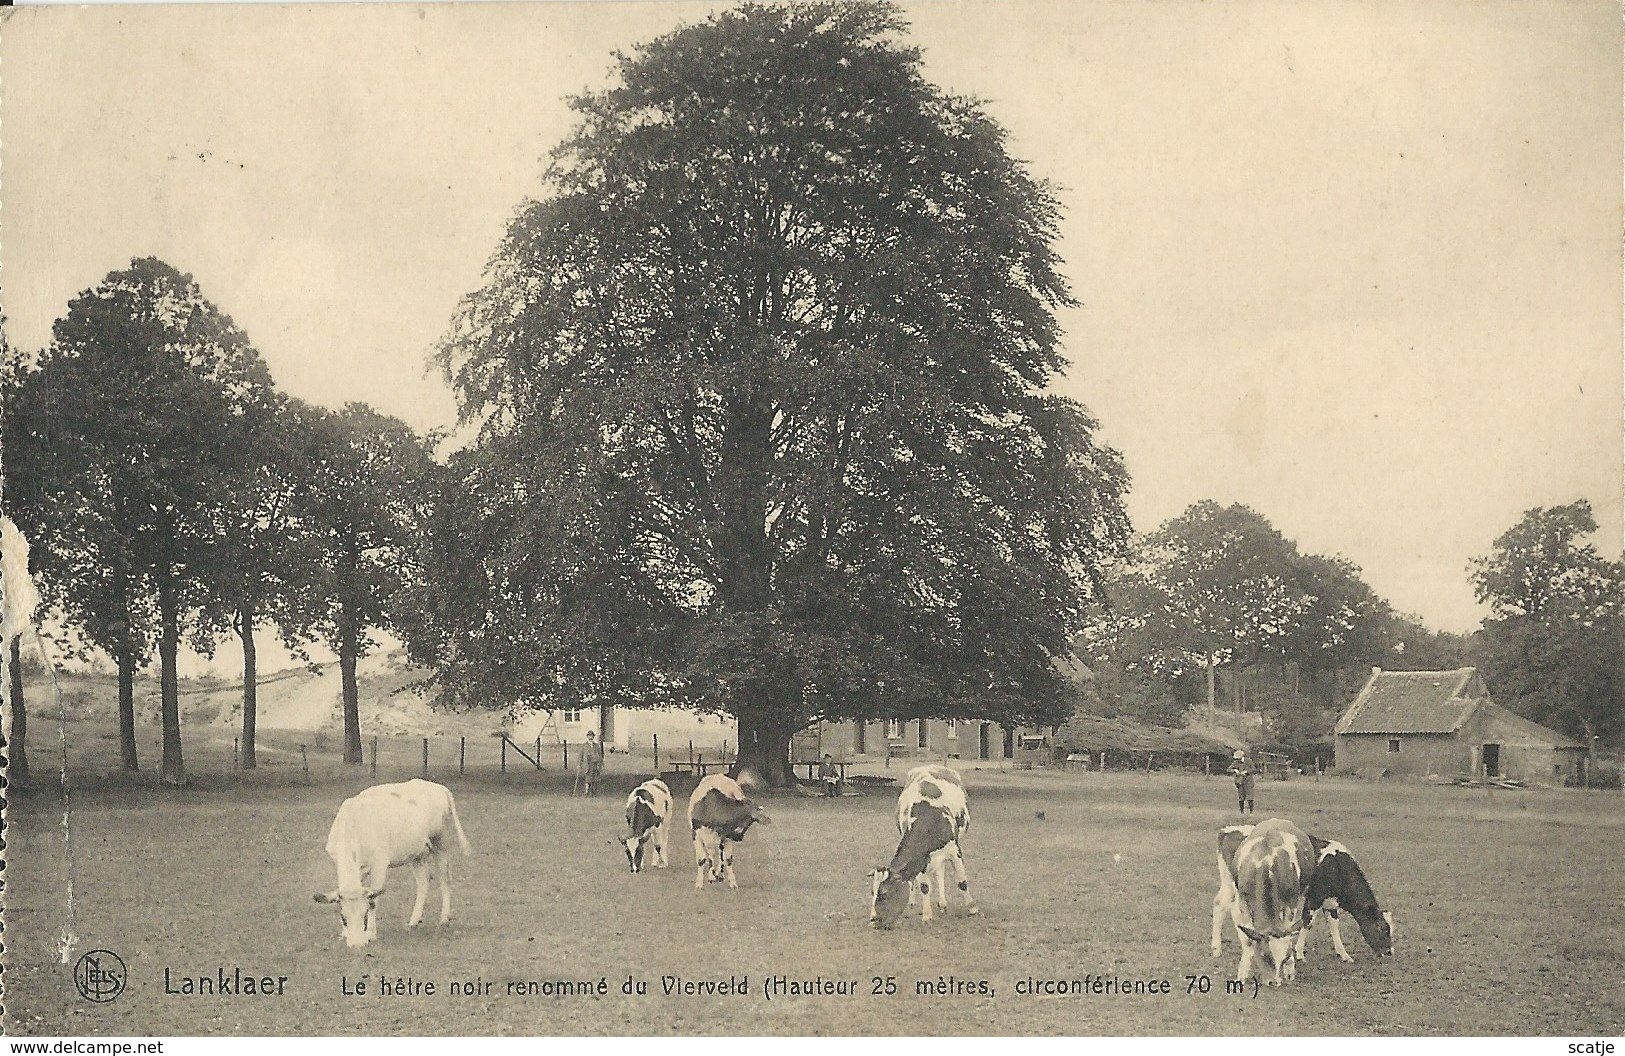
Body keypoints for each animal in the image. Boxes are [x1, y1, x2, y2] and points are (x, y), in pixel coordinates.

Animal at [313, 773, 471, 948]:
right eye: (343, 918)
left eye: (365, 916)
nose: (357, 944)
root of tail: (439, 787)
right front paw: (344, 934)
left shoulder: (380, 863)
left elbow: (374, 898)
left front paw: (371, 933)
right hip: (416, 853)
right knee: (423, 882)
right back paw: (413, 921)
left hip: (439, 841)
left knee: (445, 877)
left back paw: (444, 918)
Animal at [864, 760, 975, 922]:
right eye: (872, 892)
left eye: (884, 893)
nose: (873, 920)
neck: (929, 818)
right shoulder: (921, 858)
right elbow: (924, 886)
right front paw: (927, 915)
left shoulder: (955, 851)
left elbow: (962, 882)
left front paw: (972, 908)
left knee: (940, 872)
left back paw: (943, 903)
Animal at [1215, 818, 1313, 981]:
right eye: (1265, 956)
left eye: (1284, 959)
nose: (1275, 982)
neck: (1267, 864)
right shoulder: (1243, 901)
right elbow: (1249, 939)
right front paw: (1243, 973)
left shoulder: (1291, 901)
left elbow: (1288, 931)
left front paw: (1289, 969)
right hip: (1228, 879)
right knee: (1220, 903)